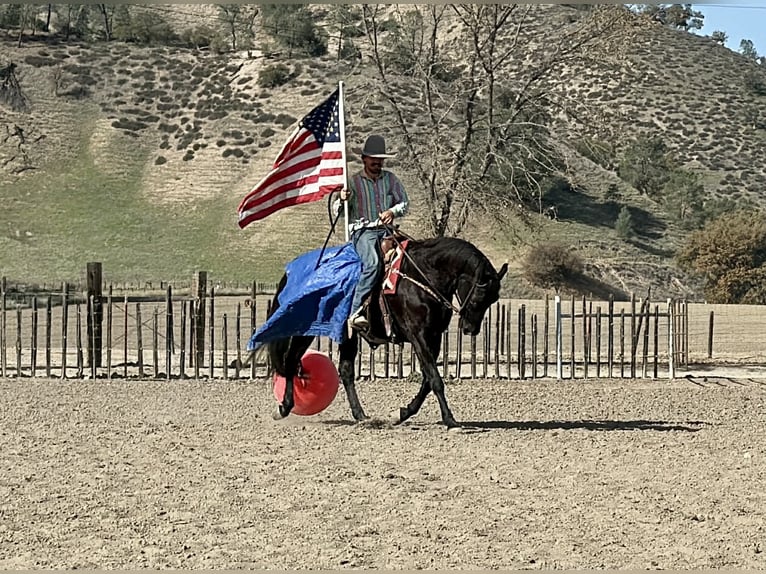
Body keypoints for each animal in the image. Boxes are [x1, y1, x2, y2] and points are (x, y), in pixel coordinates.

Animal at [254, 235, 507, 429]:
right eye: (480, 296)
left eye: (493, 299)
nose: (470, 329)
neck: (422, 276)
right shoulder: (418, 336)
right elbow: (435, 379)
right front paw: (450, 419)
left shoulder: (433, 339)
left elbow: (427, 379)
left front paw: (402, 413)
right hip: (304, 330)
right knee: (290, 361)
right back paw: (284, 407)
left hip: (347, 335)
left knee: (345, 370)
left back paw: (360, 415)